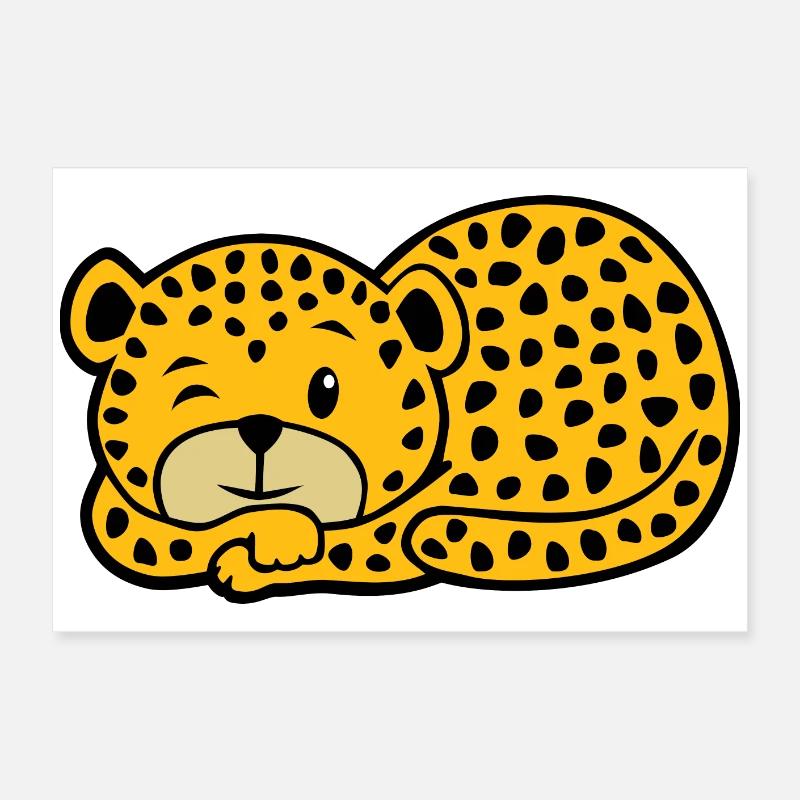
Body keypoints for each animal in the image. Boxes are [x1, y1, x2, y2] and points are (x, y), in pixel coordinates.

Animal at [60, 196, 739, 602]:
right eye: (192, 393)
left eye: (327, 389)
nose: (259, 429)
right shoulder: (115, 506)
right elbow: (150, 530)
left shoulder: (407, 522)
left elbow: (350, 543)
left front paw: (270, 547)